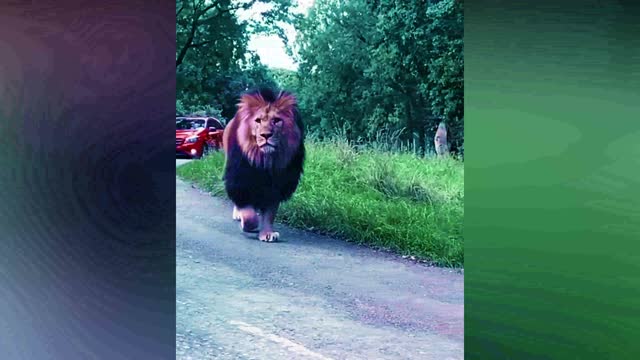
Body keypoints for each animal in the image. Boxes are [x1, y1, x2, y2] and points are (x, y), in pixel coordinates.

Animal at [222, 87, 304, 242]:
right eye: (258, 121)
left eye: (276, 120)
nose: (266, 135)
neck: (265, 161)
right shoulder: (240, 180)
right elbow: (248, 214)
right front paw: (249, 225)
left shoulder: (276, 185)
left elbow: (270, 213)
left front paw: (267, 233)